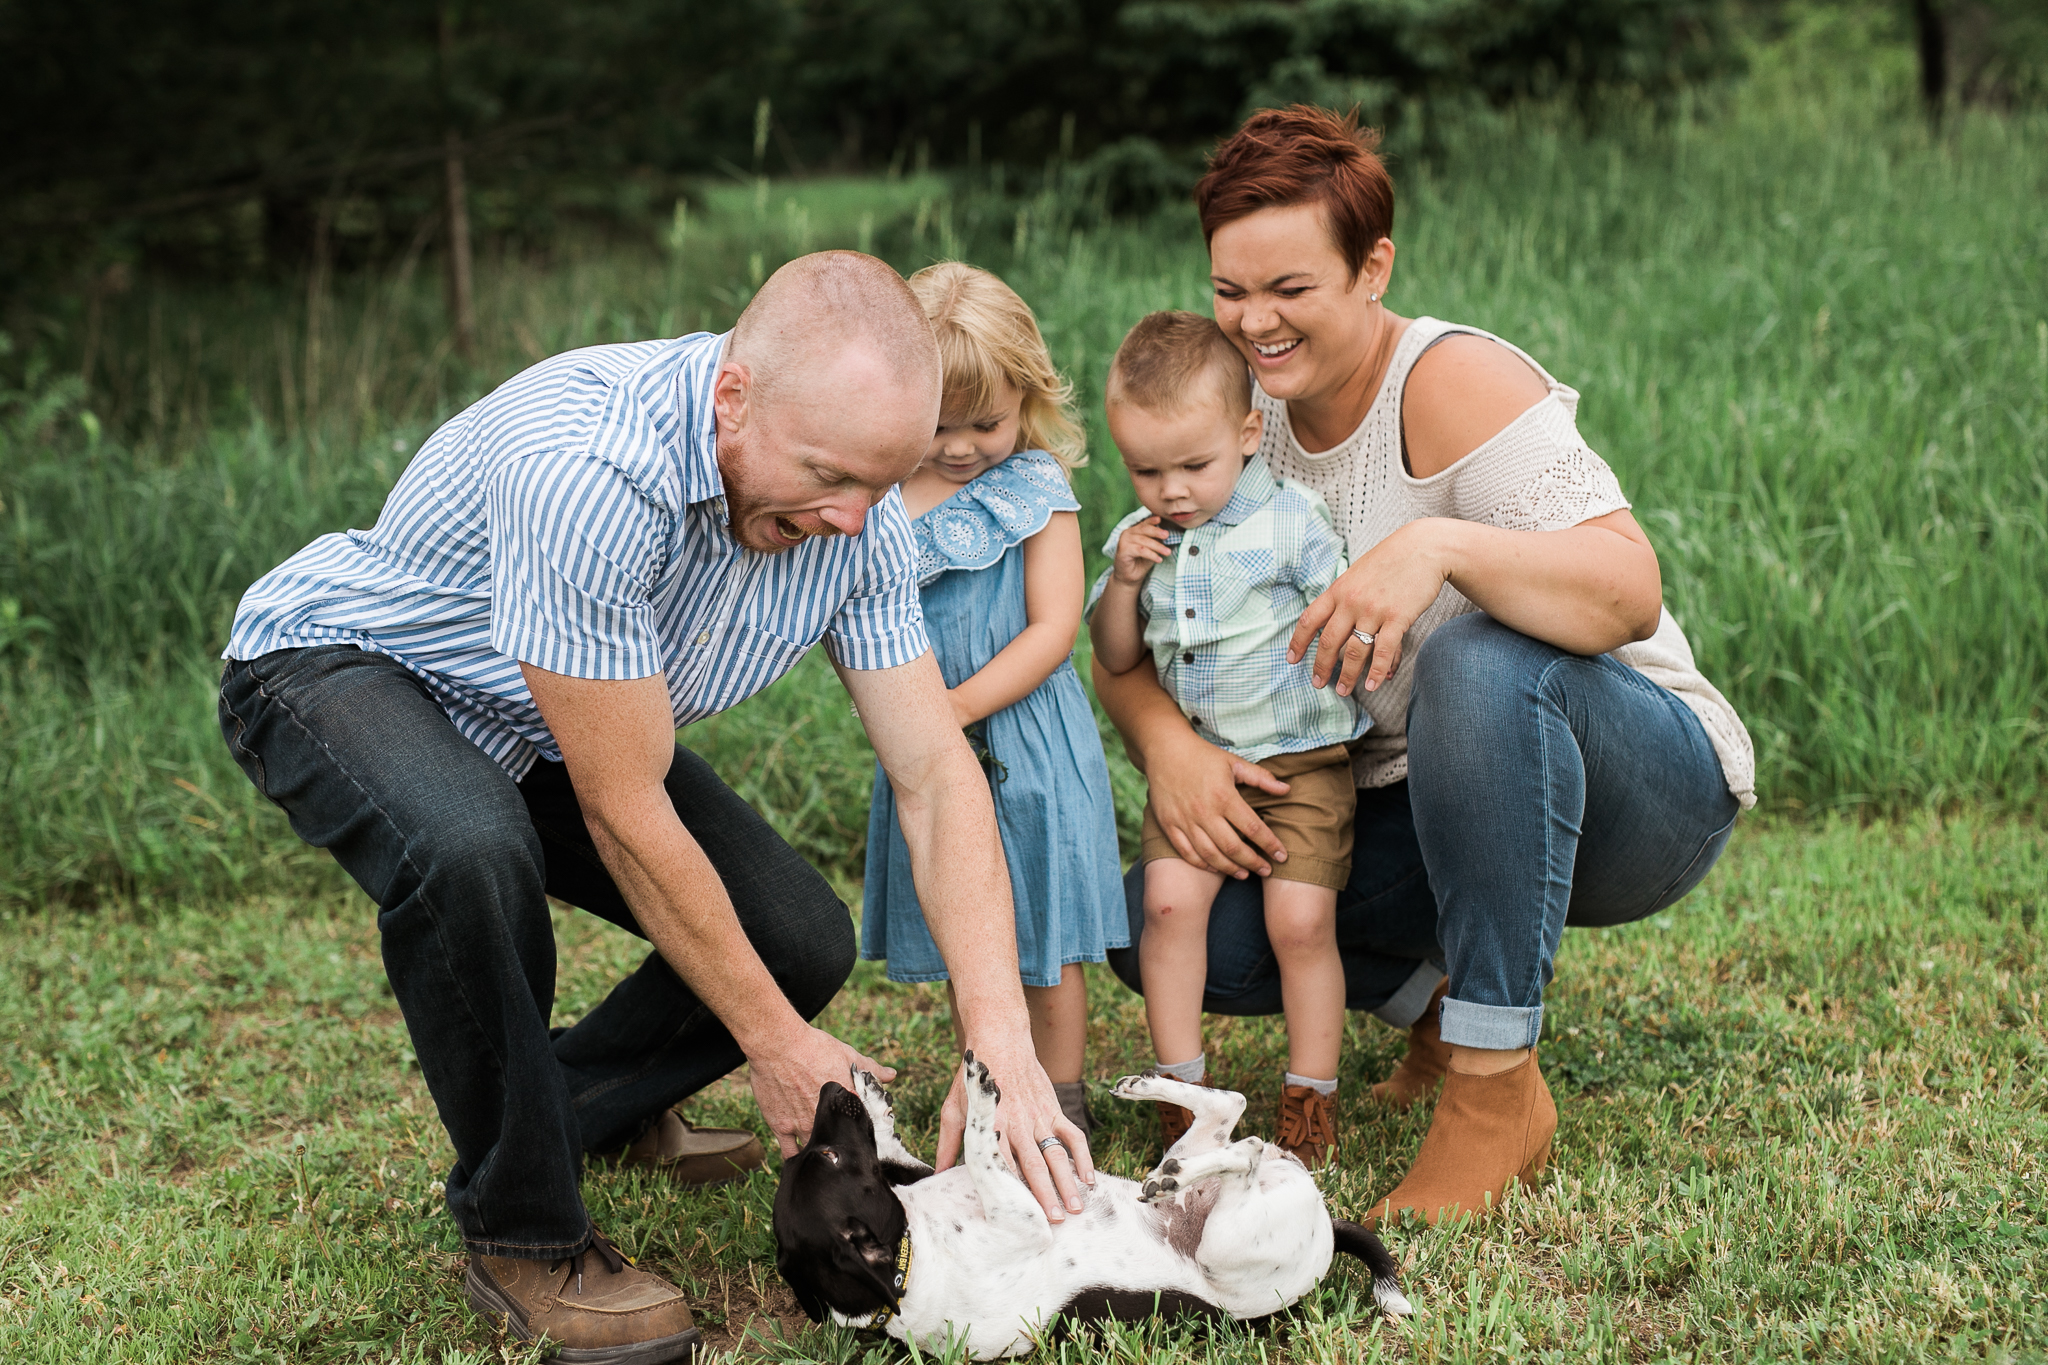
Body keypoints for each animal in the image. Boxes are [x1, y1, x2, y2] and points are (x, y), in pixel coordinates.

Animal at [770, 1055, 1409, 1358]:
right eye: (828, 1155)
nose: (829, 1089)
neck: (910, 1254)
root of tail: (1327, 1228)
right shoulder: (1022, 1219)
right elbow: (979, 1144)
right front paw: (979, 1098)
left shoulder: (930, 1177)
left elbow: (900, 1150)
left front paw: (874, 1097)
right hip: (1227, 1245)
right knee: (1246, 1149)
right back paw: (1173, 1177)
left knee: (1230, 1106)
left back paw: (1148, 1090)